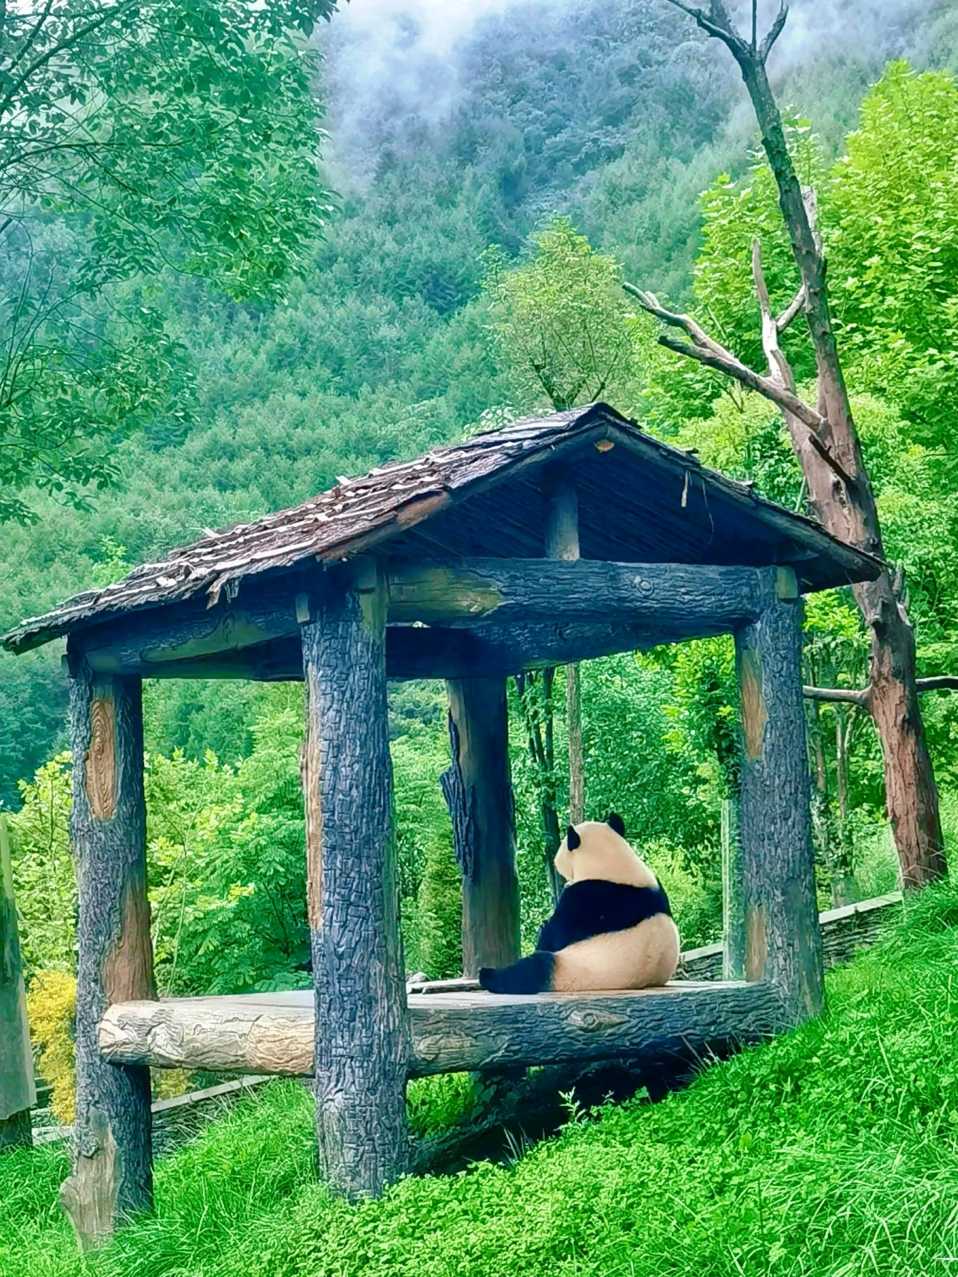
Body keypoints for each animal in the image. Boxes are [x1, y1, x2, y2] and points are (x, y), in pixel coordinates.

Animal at [478, 814, 679, 995]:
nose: (555, 860)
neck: (612, 861)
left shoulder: (586, 898)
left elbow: (557, 934)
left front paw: (543, 928)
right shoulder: (655, 886)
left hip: (571, 970)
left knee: (533, 970)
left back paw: (488, 975)